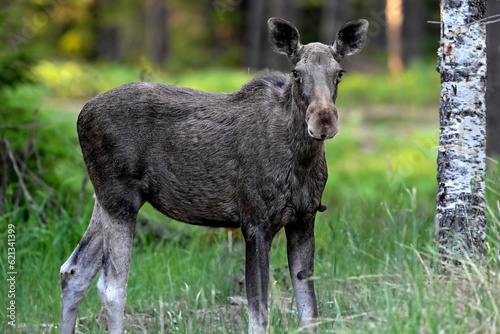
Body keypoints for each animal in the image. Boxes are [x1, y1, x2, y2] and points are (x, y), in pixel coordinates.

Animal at [60, 18, 370, 334]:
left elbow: (309, 313)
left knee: (73, 270)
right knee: (111, 286)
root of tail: (81, 115)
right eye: (296, 73)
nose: (324, 121)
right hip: (119, 199)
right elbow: (259, 314)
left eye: (339, 73)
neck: (301, 163)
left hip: (107, 199)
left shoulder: (304, 219)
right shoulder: (255, 222)